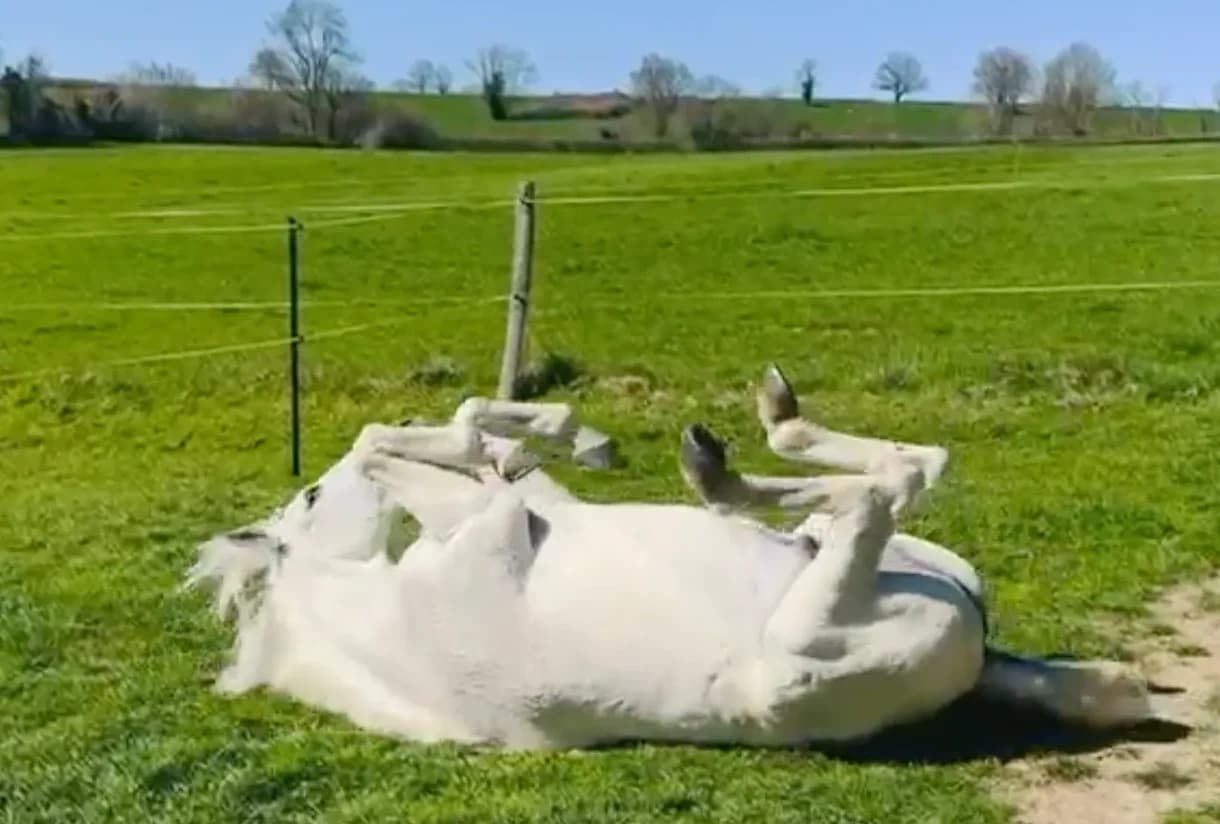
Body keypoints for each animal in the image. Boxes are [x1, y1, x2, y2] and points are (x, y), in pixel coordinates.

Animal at [183, 364, 1154, 751]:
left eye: (310, 498)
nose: (317, 489)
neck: (386, 627)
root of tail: (981, 655)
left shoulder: (518, 513)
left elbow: (452, 440)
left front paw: (564, 434)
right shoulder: (492, 527)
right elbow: (400, 440)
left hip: (911, 556)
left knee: (899, 477)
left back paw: (741, 457)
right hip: (811, 638)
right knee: (886, 487)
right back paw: (733, 458)